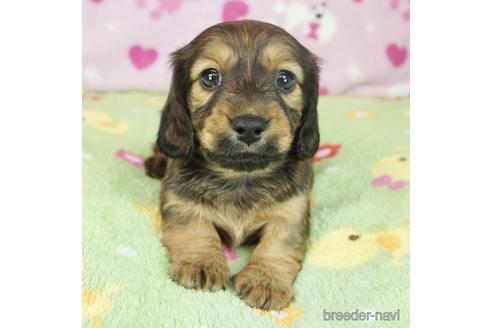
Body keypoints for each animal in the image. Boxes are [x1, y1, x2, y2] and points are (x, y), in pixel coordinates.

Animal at [143, 20, 320, 310]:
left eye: (284, 79)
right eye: (210, 77)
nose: (249, 127)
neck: (239, 175)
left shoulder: (291, 211)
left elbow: (278, 244)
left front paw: (266, 280)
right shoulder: (180, 201)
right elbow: (195, 227)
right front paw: (202, 261)